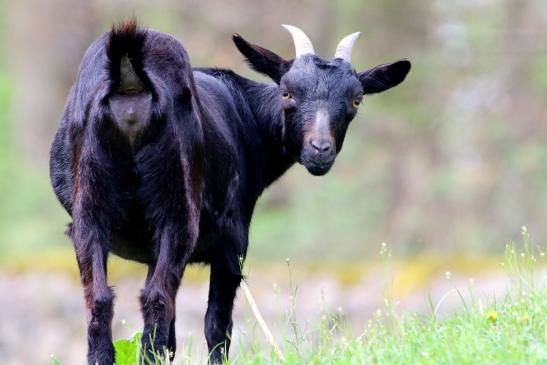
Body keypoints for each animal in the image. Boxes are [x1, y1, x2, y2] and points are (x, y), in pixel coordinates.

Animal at [50, 19, 412, 362]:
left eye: (356, 100)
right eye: (287, 92)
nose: (320, 149)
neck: (246, 113)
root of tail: (131, 75)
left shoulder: (152, 249)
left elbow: (173, 337)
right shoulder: (232, 241)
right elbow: (216, 326)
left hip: (90, 212)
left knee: (101, 299)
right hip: (177, 212)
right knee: (158, 299)